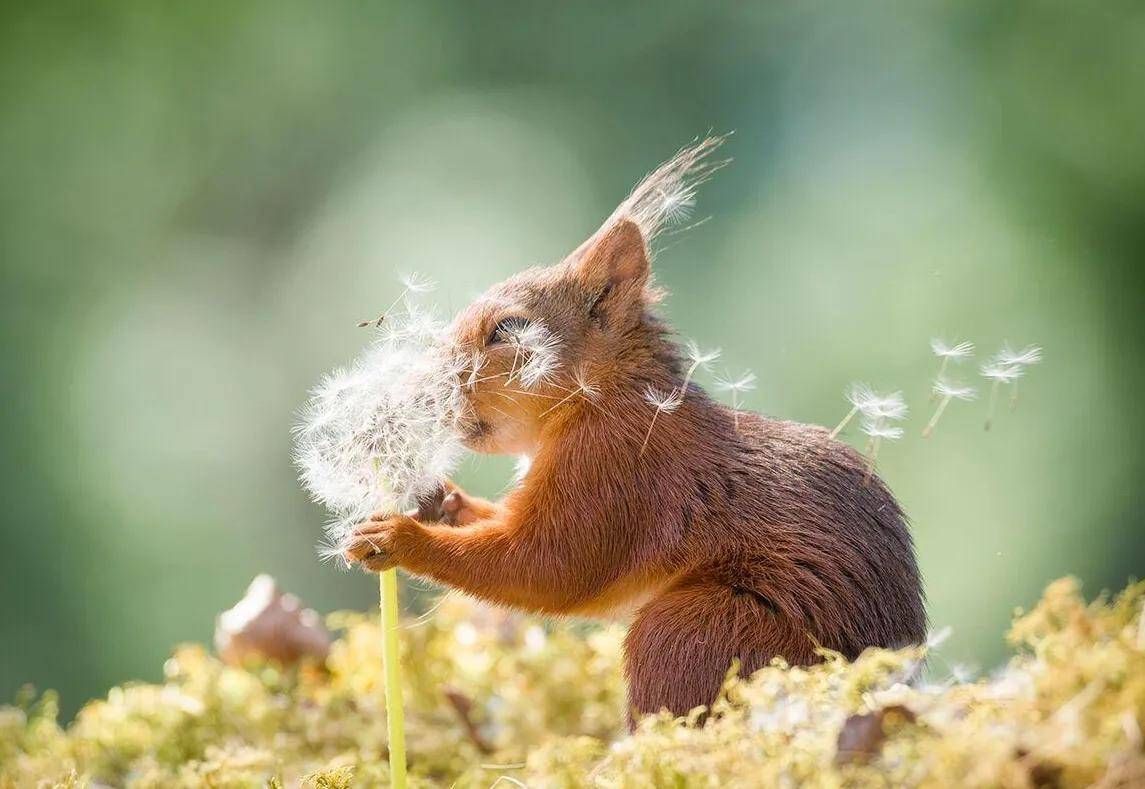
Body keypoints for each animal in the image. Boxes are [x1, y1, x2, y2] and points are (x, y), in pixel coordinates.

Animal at [343, 138, 925, 723]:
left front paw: (399, 538)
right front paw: (442, 501)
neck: (602, 398)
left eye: (507, 330)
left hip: (698, 631)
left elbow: (548, 565)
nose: (423, 388)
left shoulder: (616, 468)